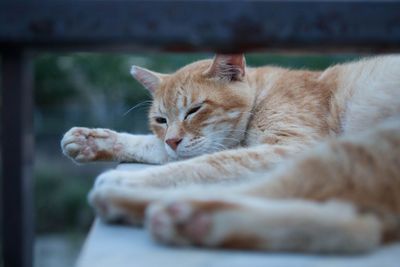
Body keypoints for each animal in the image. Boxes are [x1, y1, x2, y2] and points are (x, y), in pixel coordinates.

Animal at [61, 54, 400, 253]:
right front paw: (93, 141)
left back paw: (127, 196)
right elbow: (159, 149)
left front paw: (132, 178)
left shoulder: (290, 147)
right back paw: (192, 222)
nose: (172, 140)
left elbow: (204, 164)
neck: (262, 93)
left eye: (194, 110)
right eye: (161, 120)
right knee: (353, 227)